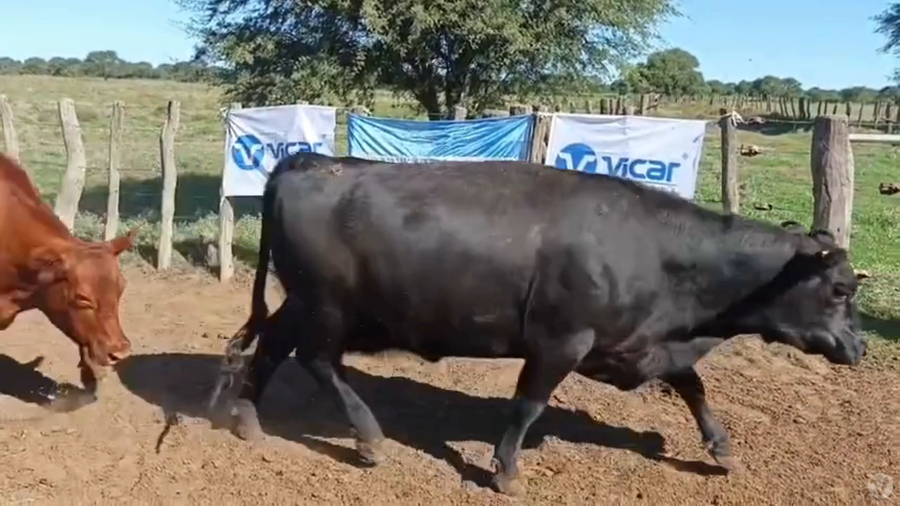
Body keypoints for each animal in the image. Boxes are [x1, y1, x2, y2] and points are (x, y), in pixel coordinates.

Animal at [209, 152, 866, 496]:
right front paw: (506, 470)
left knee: (270, 348)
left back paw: (247, 419)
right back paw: (368, 438)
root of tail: (310, 161)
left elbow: (693, 386)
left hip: (302, 303)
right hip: (329, 306)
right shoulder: (560, 341)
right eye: (839, 289)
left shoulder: (641, 346)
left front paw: (722, 450)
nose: (859, 347)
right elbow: (528, 405)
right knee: (316, 360)